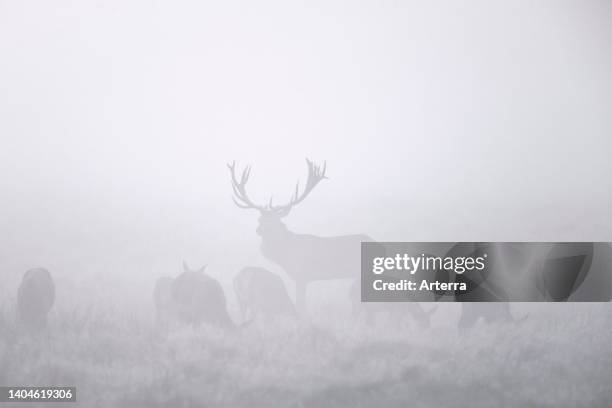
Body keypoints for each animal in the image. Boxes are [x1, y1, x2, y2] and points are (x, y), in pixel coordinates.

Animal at [228, 159, 376, 312]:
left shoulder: (301, 275)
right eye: (260, 219)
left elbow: (301, 305)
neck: (285, 254)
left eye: (275, 220)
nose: (258, 230)